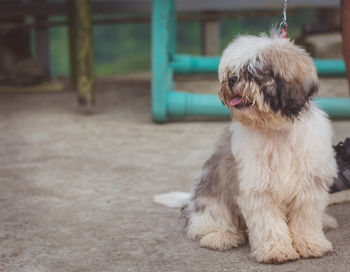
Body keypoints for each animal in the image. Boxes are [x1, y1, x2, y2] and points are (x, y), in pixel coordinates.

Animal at [182, 34, 338, 264]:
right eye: (232, 71)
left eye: (253, 71)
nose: (231, 79)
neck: (276, 129)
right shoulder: (258, 187)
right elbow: (269, 222)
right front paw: (276, 249)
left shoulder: (309, 185)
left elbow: (305, 218)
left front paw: (311, 243)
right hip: (211, 194)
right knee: (205, 220)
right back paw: (221, 236)